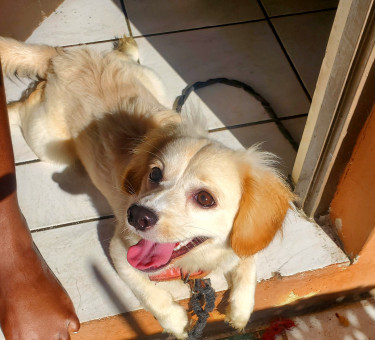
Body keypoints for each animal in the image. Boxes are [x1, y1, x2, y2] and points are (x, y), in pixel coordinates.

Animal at [0, 35, 294, 338]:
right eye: (155, 173)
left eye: (205, 198)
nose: (136, 216)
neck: (195, 263)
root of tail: (66, 57)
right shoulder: (120, 252)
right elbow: (150, 294)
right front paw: (177, 323)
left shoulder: (246, 238)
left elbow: (248, 261)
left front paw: (240, 310)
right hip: (48, 142)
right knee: (26, 105)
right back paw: (11, 109)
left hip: (153, 81)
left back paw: (128, 46)